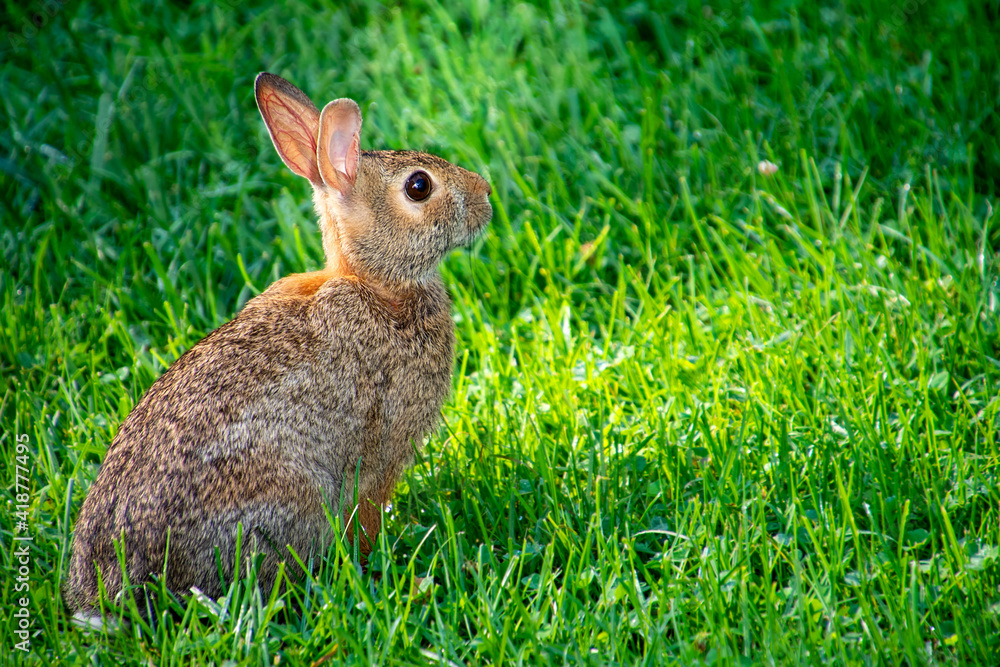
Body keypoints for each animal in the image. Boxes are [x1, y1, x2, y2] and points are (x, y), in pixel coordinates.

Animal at [64, 72, 492, 622]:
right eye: (419, 187)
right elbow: (366, 516)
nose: (486, 194)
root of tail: (107, 597)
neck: (378, 285)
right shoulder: (380, 455)